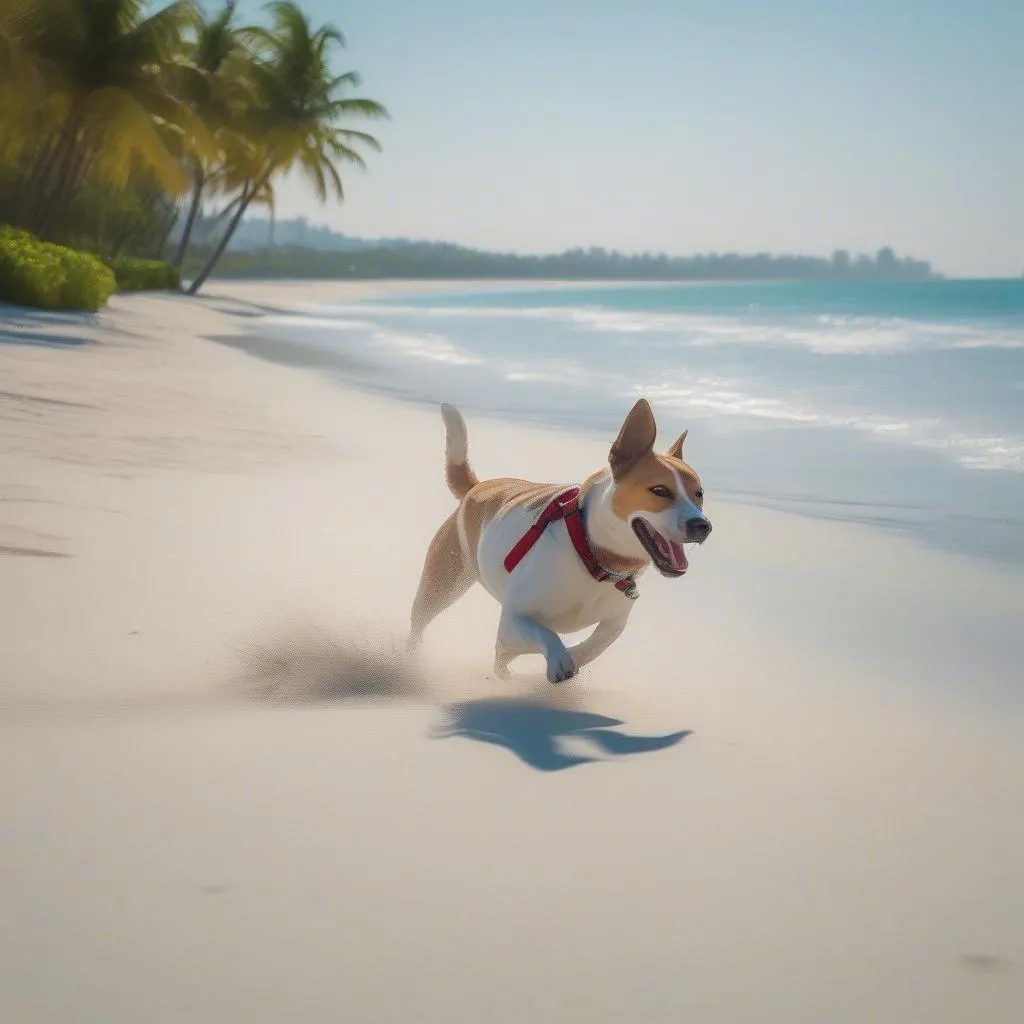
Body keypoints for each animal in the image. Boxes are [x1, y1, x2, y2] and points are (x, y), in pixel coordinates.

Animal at [407, 397, 712, 679]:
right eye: (660, 491)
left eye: (699, 494)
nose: (702, 525)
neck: (593, 556)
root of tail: (477, 487)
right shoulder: (515, 618)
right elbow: (543, 635)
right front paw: (558, 660)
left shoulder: (614, 622)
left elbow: (596, 644)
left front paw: (570, 658)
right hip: (444, 583)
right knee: (419, 620)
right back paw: (410, 660)